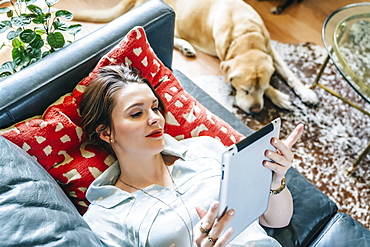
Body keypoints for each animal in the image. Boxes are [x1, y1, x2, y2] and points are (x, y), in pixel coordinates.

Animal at [73, 0, 318, 114]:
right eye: (245, 90)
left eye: (260, 88)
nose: (256, 111)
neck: (245, 34)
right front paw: (279, 95)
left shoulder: (270, 49)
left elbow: (289, 73)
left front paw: (305, 92)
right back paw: (186, 46)